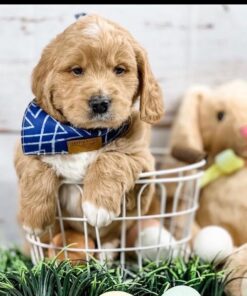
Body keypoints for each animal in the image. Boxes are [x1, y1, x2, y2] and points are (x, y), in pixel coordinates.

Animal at [14, 13, 164, 243]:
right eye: (77, 71)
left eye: (119, 70)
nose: (100, 103)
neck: (81, 136)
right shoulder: (24, 146)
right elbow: (36, 167)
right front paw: (34, 219)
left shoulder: (144, 162)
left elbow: (114, 157)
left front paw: (98, 206)